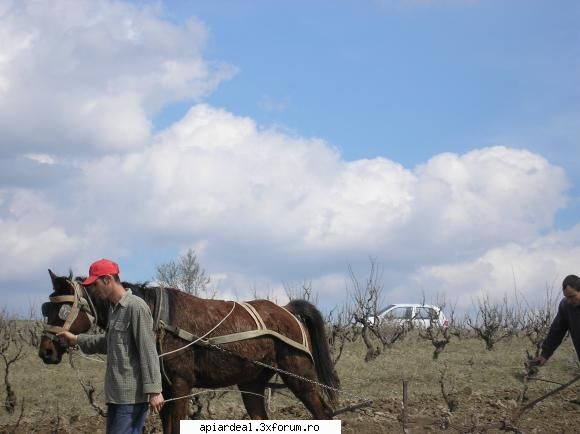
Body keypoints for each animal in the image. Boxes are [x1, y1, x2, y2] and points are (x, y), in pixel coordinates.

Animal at [37, 270, 340, 432]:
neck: (156, 316)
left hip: (300, 376)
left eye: (63, 308)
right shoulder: (163, 390)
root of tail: (286, 311)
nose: (46, 351)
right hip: (252, 382)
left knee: (324, 414)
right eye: (46, 307)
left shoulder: (181, 385)